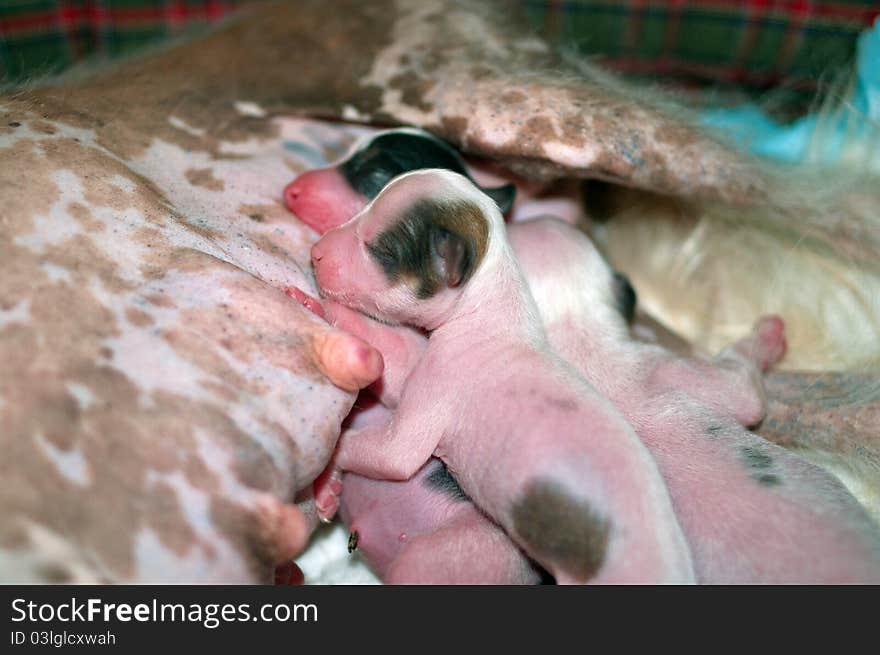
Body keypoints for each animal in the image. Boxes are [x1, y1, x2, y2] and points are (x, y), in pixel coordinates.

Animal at [310, 169, 696, 584]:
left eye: (382, 251)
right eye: (365, 205)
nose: (315, 253)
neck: (490, 308)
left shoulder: (441, 382)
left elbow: (393, 453)